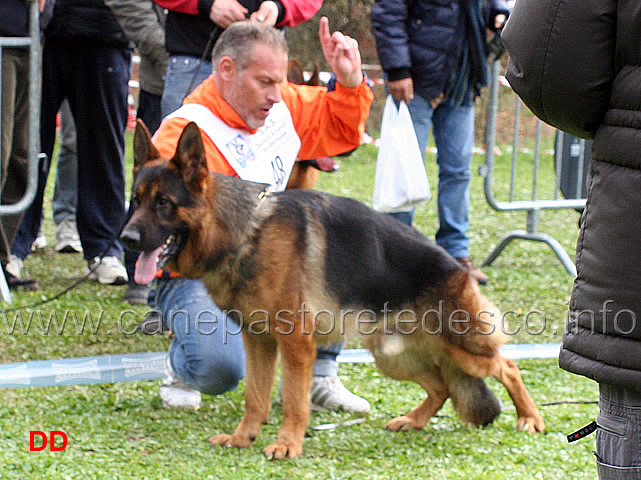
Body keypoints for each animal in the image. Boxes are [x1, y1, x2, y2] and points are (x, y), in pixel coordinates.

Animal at [122, 122, 544, 460]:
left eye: (164, 203)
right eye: (136, 201)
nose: (126, 240)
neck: (245, 230)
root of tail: (457, 268)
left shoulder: (295, 344)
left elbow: (294, 401)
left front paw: (287, 445)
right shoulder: (258, 341)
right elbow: (255, 397)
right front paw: (244, 438)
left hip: (460, 347)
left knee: (507, 366)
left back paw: (530, 418)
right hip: (393, 355)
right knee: (441, 386)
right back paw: (414, 420)